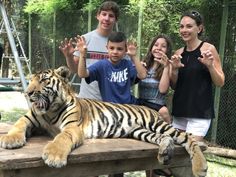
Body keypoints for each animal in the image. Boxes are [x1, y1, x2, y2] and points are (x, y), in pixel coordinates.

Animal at [0, 66, 206, 177]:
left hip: (157, 125)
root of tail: (150, 108)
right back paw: (164, 152)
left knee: (188, 139)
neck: (50, 111)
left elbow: (62, 138)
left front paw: (54, 156)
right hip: (141, 131)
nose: (28, 93)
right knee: (164, 138)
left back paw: (200, 167)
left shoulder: (72, 127)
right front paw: (10, 140)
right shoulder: (29, 118)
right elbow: (18, 124)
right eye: (31, 81)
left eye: (43, 80)